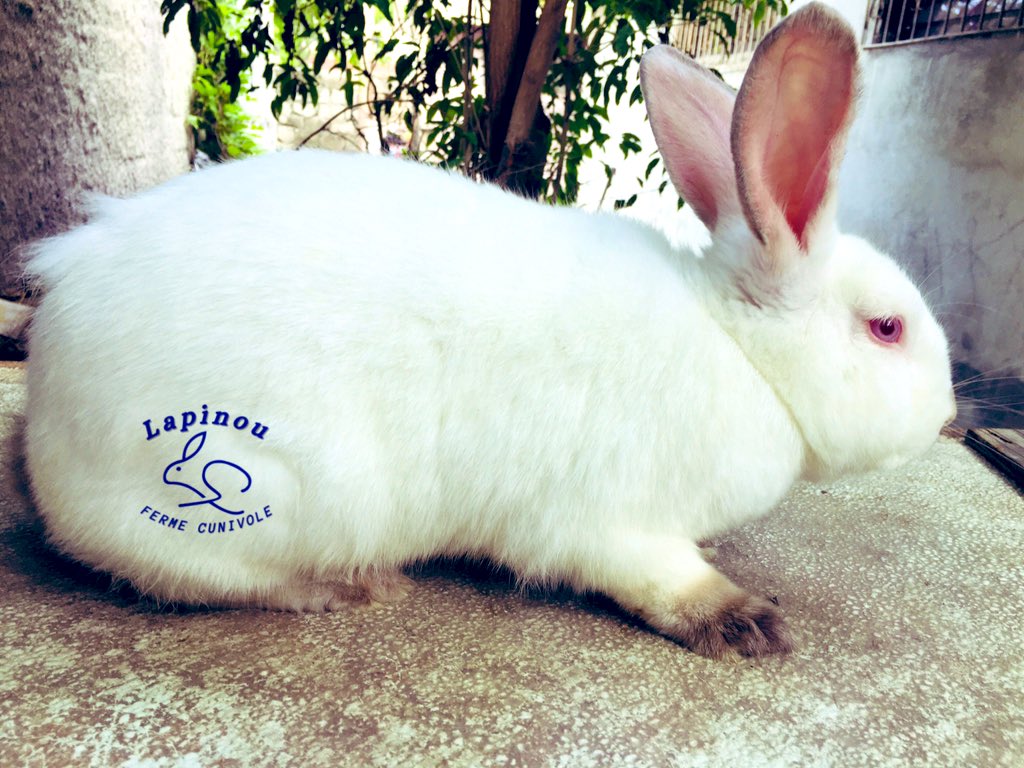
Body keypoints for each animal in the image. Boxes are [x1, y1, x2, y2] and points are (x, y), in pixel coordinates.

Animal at [22, 3, 954, 658]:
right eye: (887, 328)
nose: (950, 410)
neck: (742, 350)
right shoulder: (607, 524)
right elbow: (657, 578)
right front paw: (747, 622)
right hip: (275, 489)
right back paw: (352, 588)